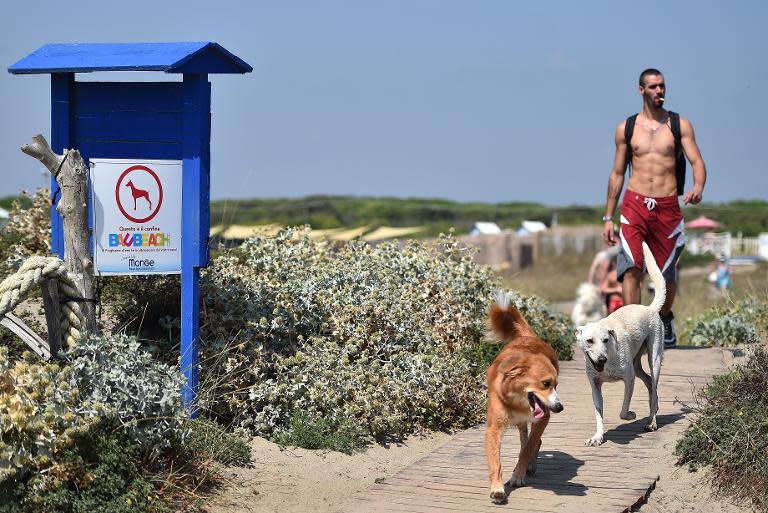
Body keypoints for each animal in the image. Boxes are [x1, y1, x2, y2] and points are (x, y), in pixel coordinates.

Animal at [486, 294, 564, 502]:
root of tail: (528, 337)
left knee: (533, 443)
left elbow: (528, 448)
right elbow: (496, 461)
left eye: (555, 385)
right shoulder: (494, 428)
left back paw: (529, 465)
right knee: (524, 438)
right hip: (520, 422)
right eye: (545, 383)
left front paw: (518, 475)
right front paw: (497, 488)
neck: (517, 402)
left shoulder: (543, 418)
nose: (559, 407)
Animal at [576, 240, 664, 444]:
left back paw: (652, 422)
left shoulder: (629, 379)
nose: (601, 359)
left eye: (606, 340)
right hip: (637, 364)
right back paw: (652, 411)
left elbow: (623, 410)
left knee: (654, 386)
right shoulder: (595, 386)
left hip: (654, 359)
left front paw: (631, 414)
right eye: (589, 341)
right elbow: (598, 413)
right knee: (650, 384)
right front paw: (597, 437)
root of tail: (650, 308)